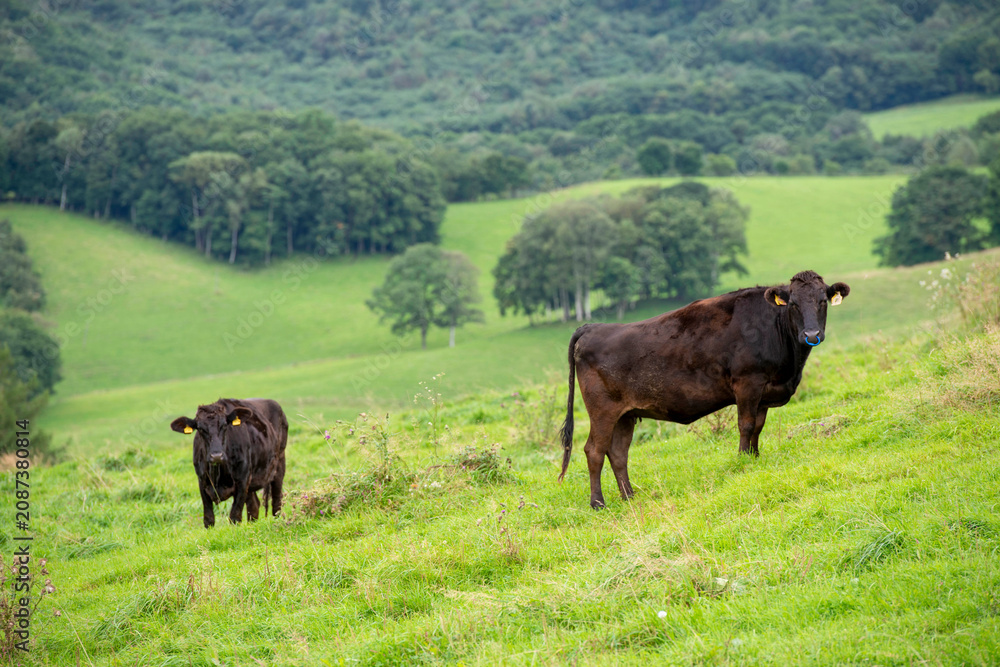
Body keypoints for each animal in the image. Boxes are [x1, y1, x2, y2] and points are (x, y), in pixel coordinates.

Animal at [171, 398, 288, 528]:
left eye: (224, 425)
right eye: (200, 428)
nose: (216, 456)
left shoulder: (243, 479)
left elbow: (235, 517)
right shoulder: (202, 481)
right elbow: (209, 519)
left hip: (279, 464)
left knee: (276, 503)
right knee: (254, 506)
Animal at [559, 270, 849, 509]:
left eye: (822, 301)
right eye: (793, 304)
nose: (811, 334)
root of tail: (592, 327)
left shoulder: (764, 391)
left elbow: (758, 426)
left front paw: (755, 457)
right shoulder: (747, 383)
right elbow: (745, 425)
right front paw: (743, 460)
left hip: (625, 415)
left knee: (618, 453)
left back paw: (629, 497)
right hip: (602, 411)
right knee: (594, 450)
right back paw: (598, 503)